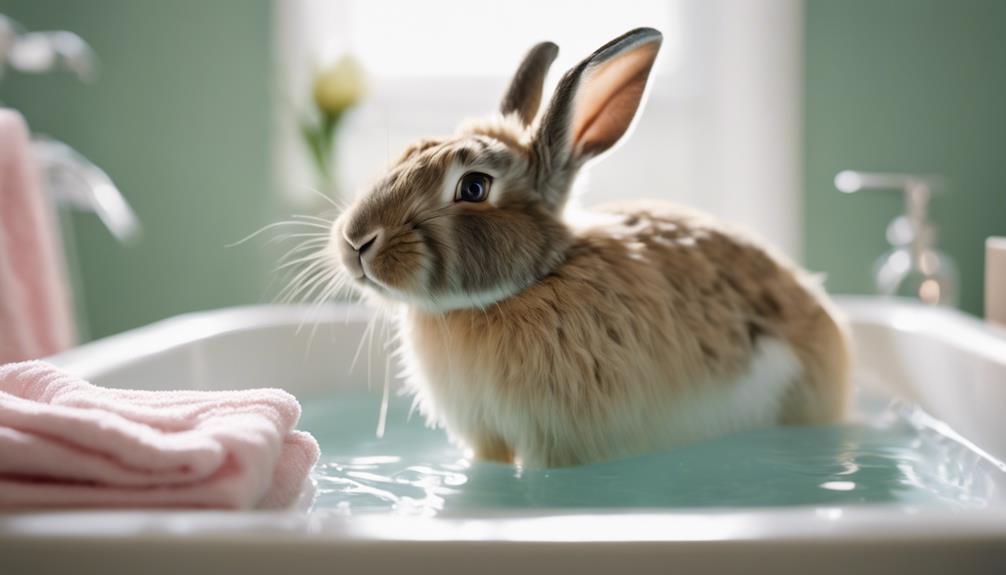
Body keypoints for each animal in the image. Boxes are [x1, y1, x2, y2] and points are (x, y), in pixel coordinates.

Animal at [329, 28, 850, 468]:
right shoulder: (486, 437)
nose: (356, 240)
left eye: (474, 187)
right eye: (408, 152)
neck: (527, 285)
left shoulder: (554, 441)